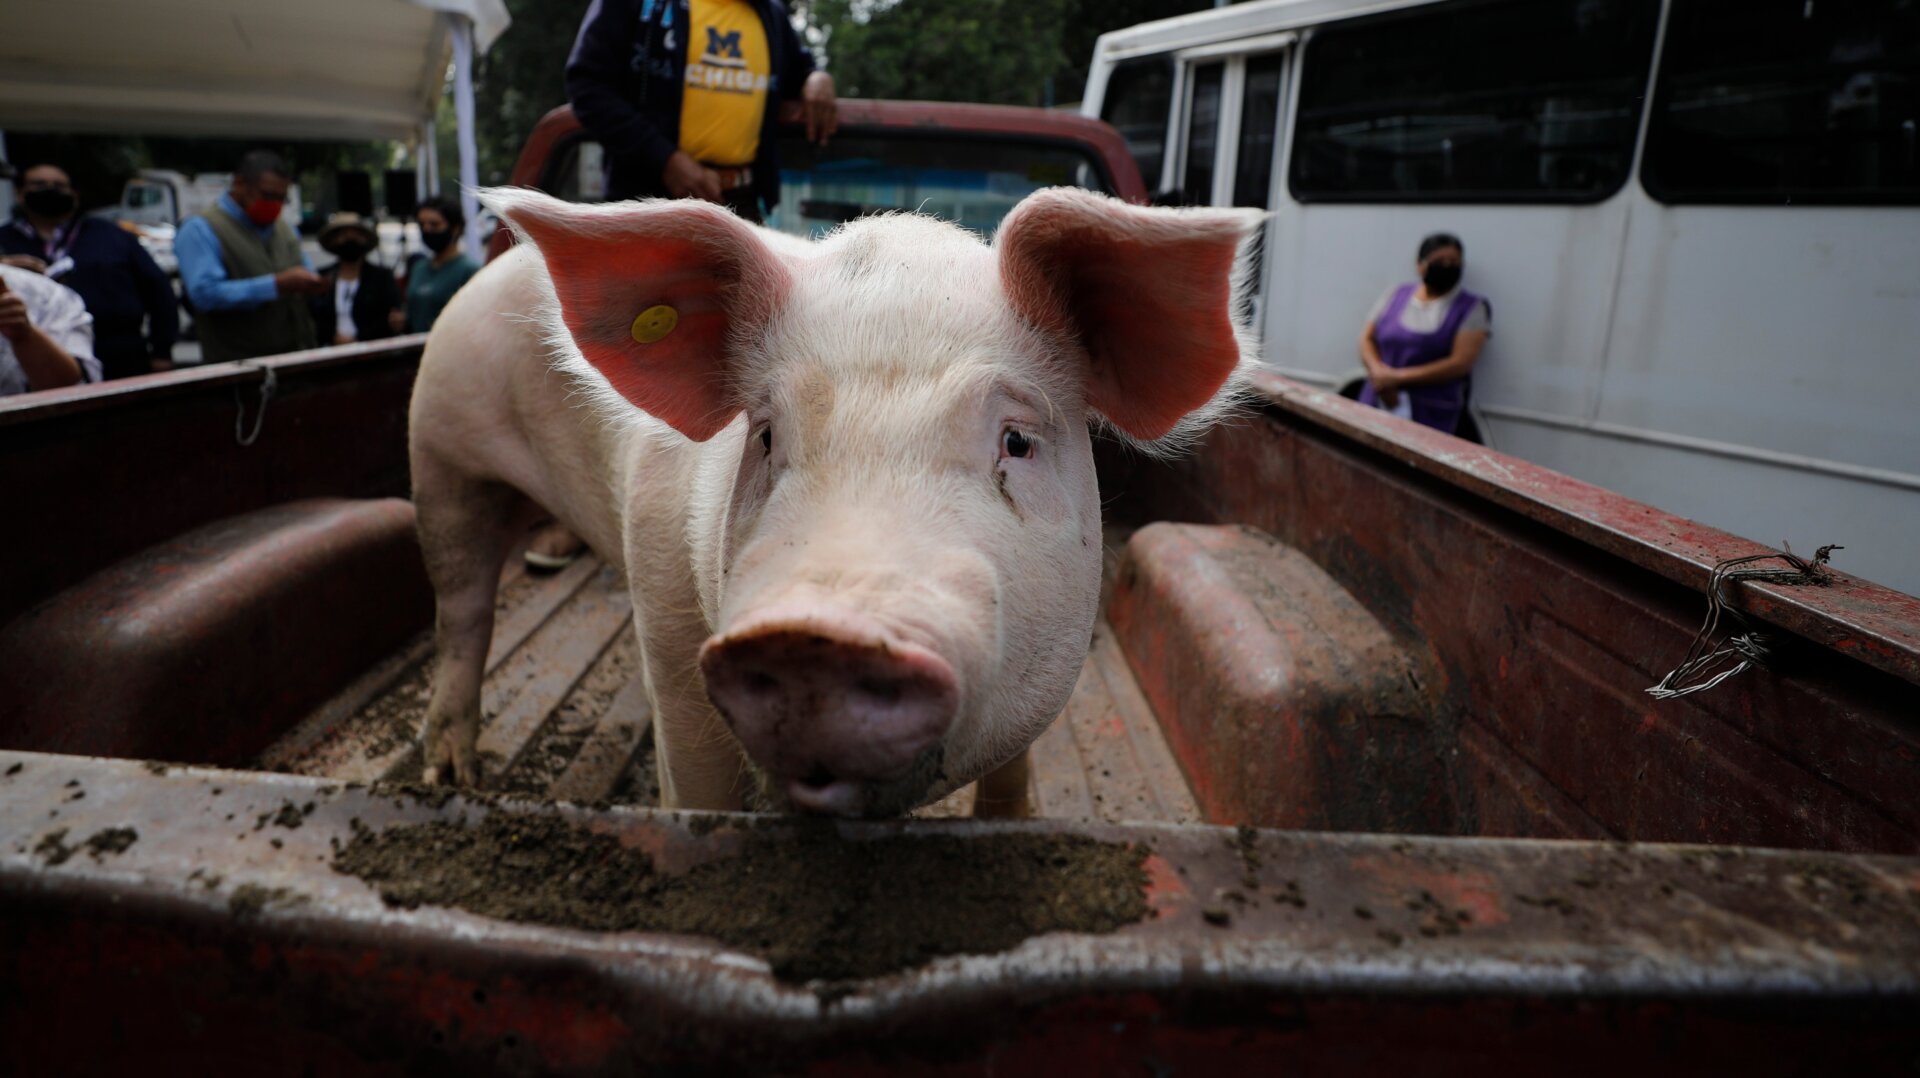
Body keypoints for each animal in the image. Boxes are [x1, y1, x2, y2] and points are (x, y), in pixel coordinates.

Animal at [409, 185, 1261, 817]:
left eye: (1017, 442)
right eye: (764, 435)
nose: (817, 637)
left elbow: (1012, 776)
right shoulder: (665, 608)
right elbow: (697, 778)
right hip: (439, 452)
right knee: (461, 609)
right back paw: (449, 776)